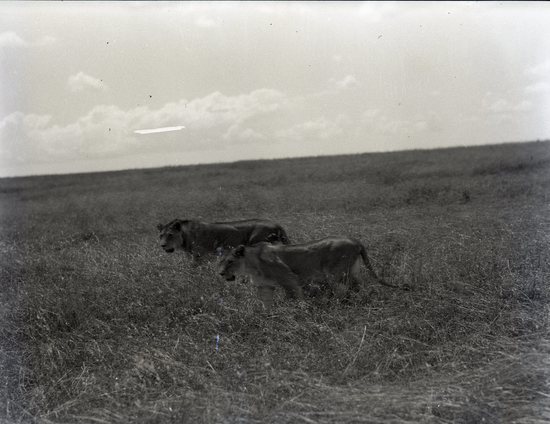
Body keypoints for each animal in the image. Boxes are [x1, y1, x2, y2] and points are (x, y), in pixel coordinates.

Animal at [217, 235, 402, 308]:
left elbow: (293, 298)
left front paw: (297, 312)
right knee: (358, 286)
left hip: (336, 274)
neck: (250, 265)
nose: (220, 274)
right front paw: (266, 317)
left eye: (230, 262)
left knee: (350, 289)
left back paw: (340, 305)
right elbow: (266, 304)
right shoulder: (265, 286)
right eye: (220, 262)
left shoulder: (289, 279)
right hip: (350, 272)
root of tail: (355, 241)